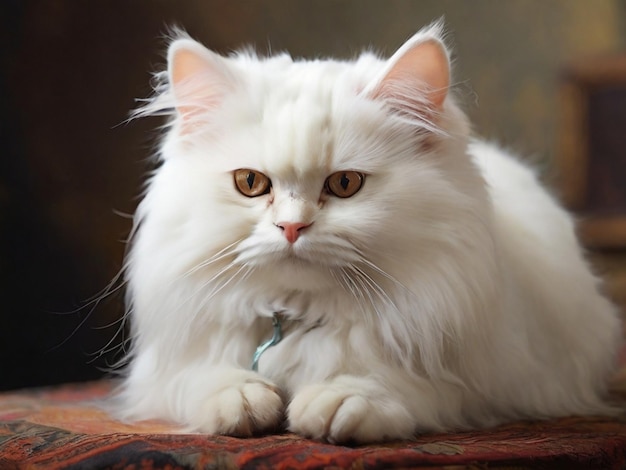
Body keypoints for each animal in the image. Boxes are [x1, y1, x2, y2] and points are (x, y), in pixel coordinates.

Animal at [114, 20, 620, 442]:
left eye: (344, 184)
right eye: (251, 183)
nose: (291, 226)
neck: (299, 316)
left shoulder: (492, 382)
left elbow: (401, 384)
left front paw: (339, 399)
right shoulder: (165, 373)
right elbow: (201, 378)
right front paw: (241, 396)